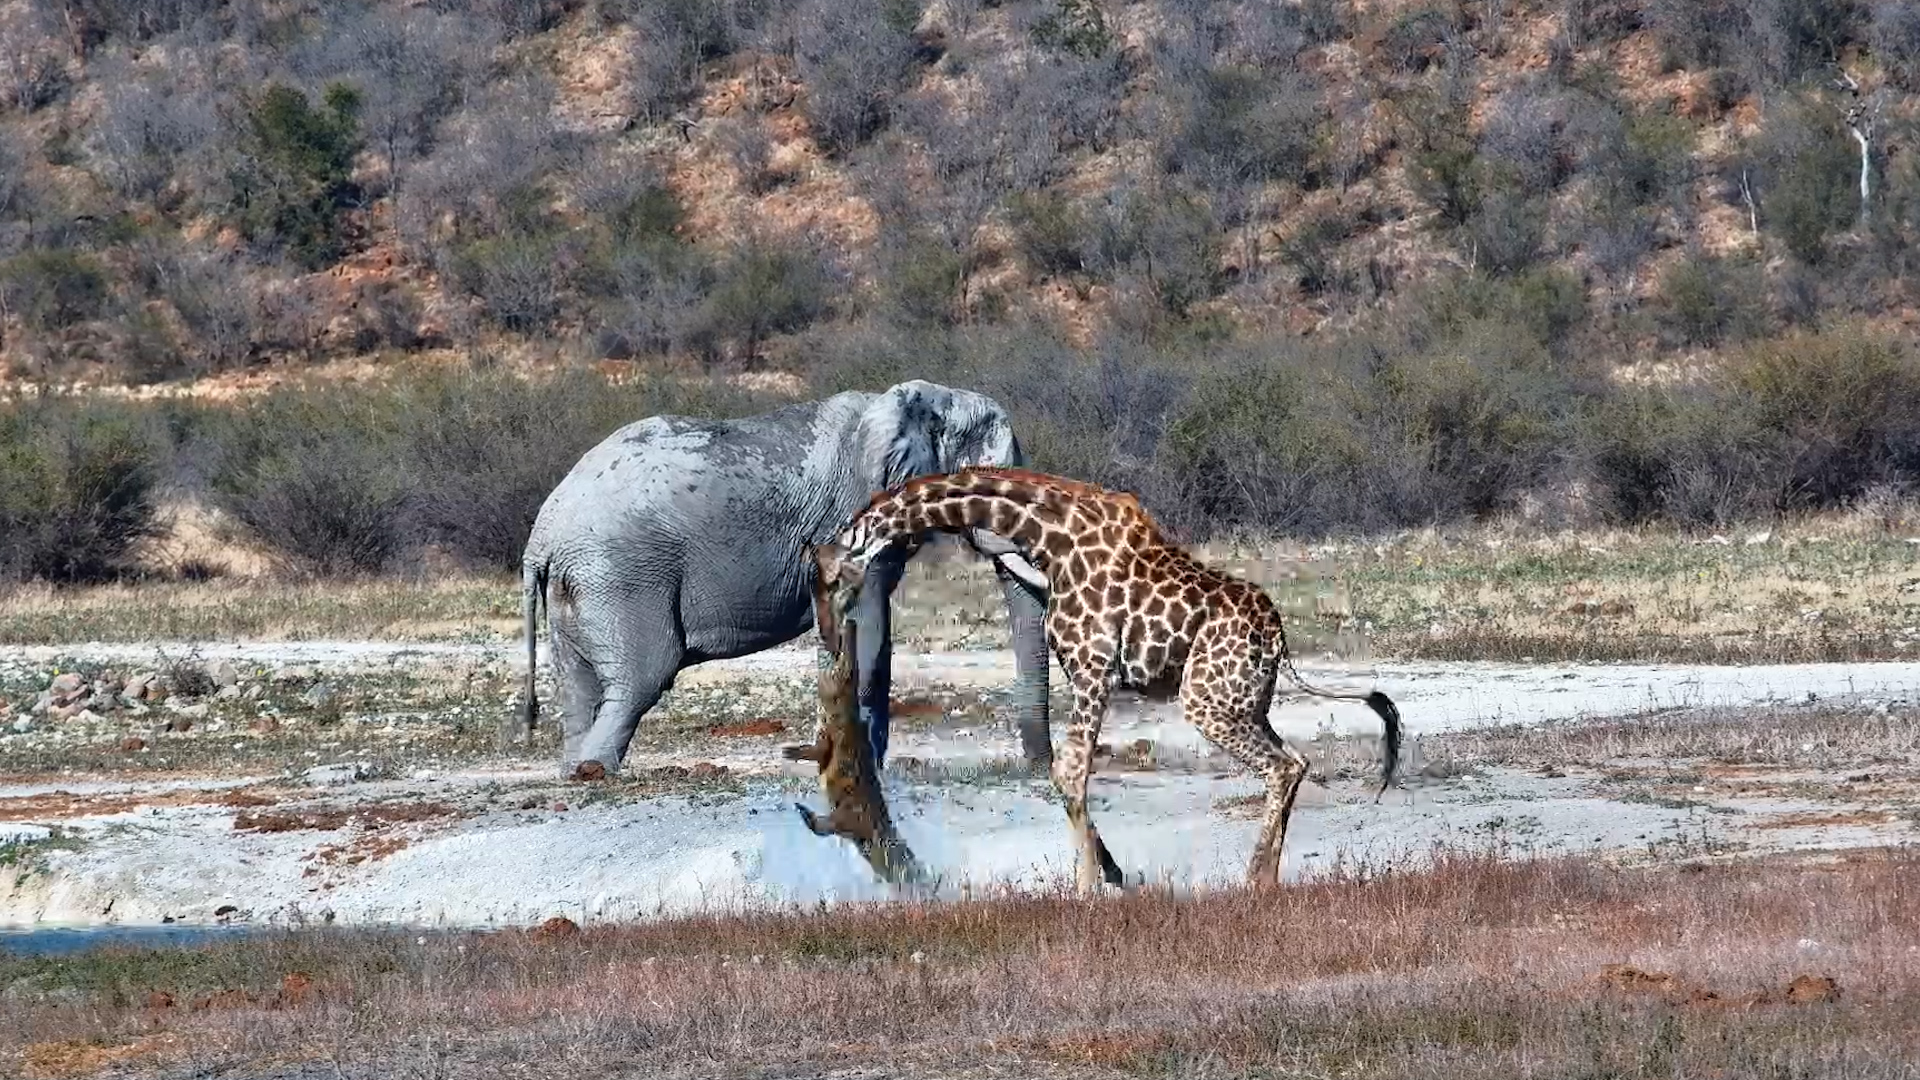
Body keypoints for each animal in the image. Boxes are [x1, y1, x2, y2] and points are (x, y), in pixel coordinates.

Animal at [815, 467, 1402, 894]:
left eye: (829, 579)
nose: (827, 636)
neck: (1049, 537)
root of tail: (1278, 635)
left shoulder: (1092, 668)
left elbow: (1070, 772)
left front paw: (1087, 891)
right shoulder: (1082, 672)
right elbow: (1067, 773)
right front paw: (1107, 878)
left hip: (1205, 701)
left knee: (1280, 766)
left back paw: (1253, 881)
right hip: (1243, 700)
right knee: (1296, 760)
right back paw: (1269, 878)